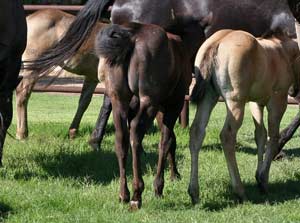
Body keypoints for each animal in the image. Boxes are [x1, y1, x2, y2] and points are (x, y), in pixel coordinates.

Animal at [17, 9, 108, 143]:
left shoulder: (92, 77)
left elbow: (84, 102)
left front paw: (73, 133)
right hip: (33, 68)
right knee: (22, 94)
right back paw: (22, 134)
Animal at [95, 18, 207, 207]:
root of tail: (130, 37)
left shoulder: (159, 108)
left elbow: (171, 139)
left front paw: (174, 174)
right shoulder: (174, 104)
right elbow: (166, 141)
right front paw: (159, 186)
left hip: (119, 100)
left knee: (121, 139)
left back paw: (124, 194)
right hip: (149, 102)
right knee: (135, 133)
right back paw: (137, 193)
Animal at [188, 28, 300, 203]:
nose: (294, 92)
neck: (282, 53)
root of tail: (216, 42)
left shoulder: (256, 103)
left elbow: (261, 135)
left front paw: (259, 175)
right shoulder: (277, 102)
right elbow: (273, 137)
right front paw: (263, 181)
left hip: (209, 96)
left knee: (196, 132)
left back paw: (194, 193)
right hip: (235, 102)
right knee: (227, 136)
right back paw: (240, 191)